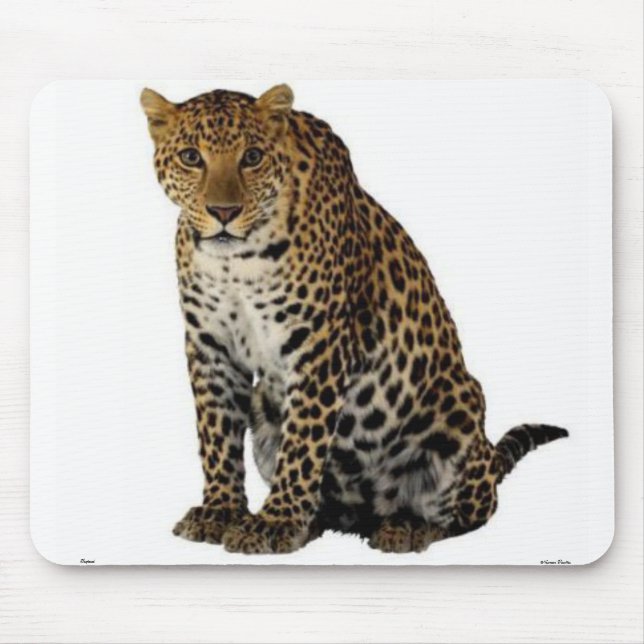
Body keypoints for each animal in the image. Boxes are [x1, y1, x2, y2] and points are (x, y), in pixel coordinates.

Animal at [140, 83, 568, 555]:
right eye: (191, 157)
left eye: (252, 157)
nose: (223, 212)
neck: (236, 261)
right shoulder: (210, 345)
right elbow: (216, 434)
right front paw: (221, 512)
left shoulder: (319, 343)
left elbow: (303, 442)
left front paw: (274, 522)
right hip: (264, 413)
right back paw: (318, 520)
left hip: (459, 410)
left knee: (469, 513)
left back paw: (406, 526)